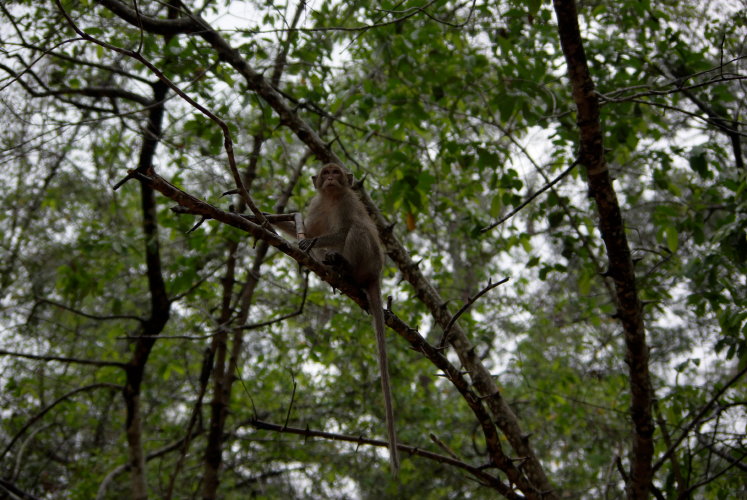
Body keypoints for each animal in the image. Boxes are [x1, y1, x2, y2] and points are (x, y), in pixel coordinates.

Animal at [296, 163, 400, 472]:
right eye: (325, 173)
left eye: (336, 172)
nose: (331, 178)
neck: (331, 199)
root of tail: (375, 276)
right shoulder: (316, 205)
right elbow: (305, 228)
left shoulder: (346, 202)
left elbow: (342, 230)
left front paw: (313, 242)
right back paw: (335, 269)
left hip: (372, 261)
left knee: (358, 229)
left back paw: (346, 268)